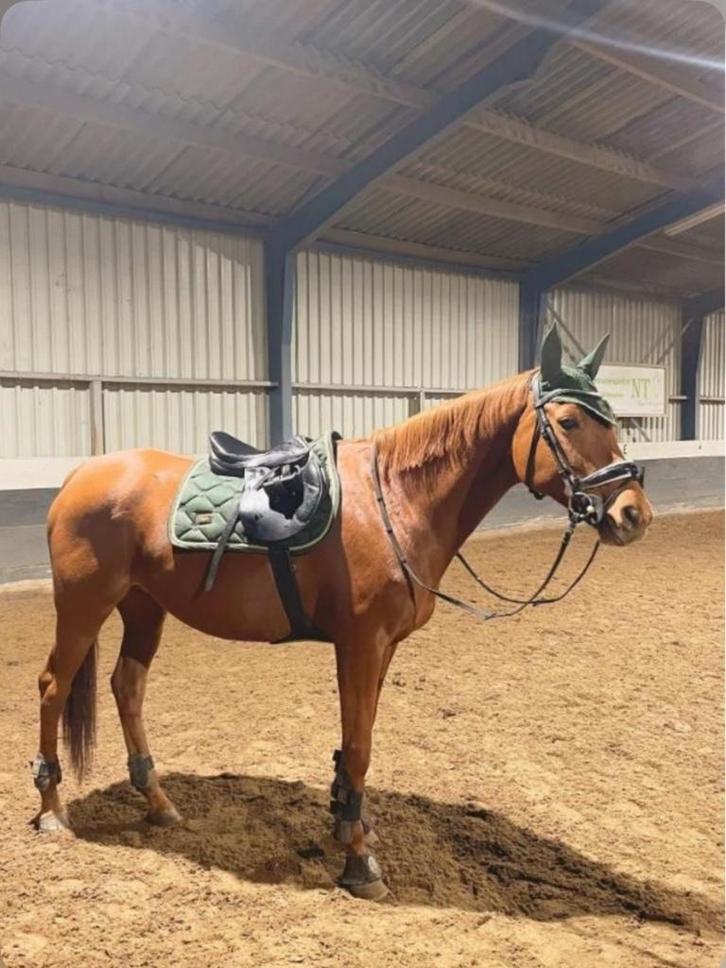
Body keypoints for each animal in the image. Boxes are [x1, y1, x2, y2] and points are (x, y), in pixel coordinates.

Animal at [31, 324, 652, 900]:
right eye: (568, 422)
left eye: (613, 420)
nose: (633, 515)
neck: (394, 502)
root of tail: (80, 476)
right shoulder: (361, 642)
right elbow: (359, 746)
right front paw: (358, 860)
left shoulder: (383, 647)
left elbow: (361, 737)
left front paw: (350, 824)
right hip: (84, 604)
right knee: (54, 686)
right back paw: (53, 810)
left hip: (144, 608)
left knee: (127, 685)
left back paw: (158, 802)